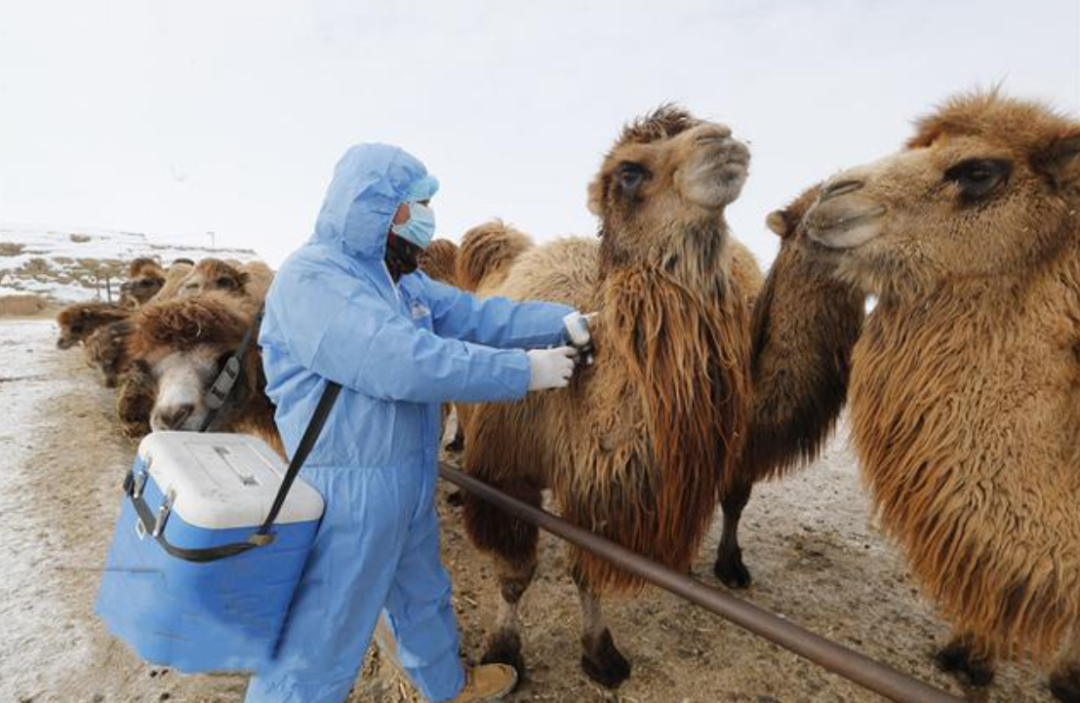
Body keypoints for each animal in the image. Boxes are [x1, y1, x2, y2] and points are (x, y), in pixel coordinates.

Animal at [460, 107, 756, 691]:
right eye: (629, 171)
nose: (723, 141)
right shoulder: (507, 474)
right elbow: (515, 574)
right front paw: (505, 652)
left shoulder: (597, 492)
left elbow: (586, 573)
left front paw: (601, 653)